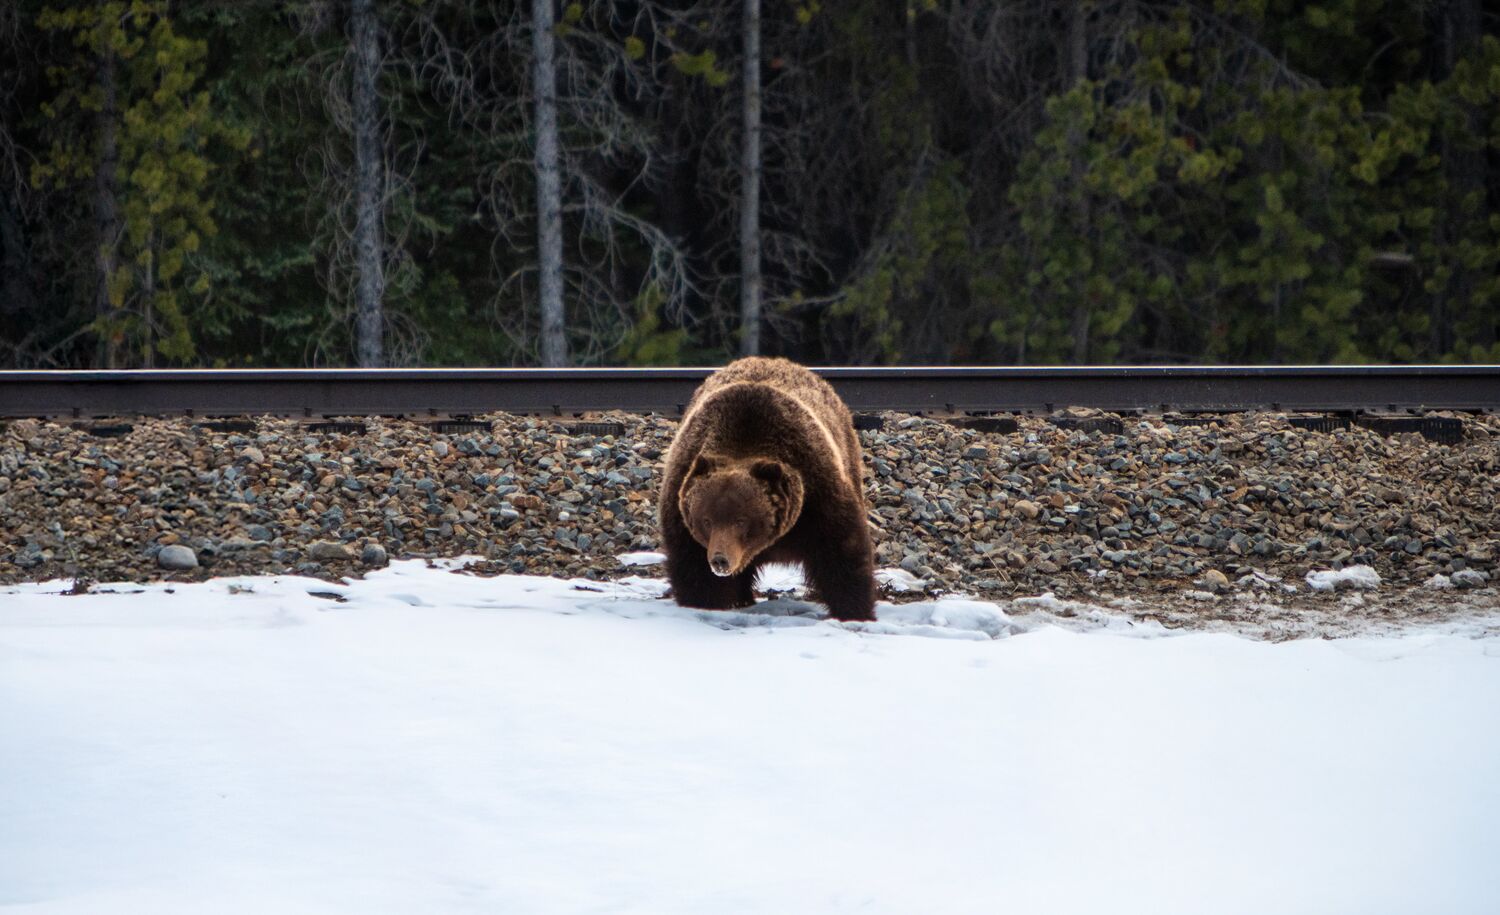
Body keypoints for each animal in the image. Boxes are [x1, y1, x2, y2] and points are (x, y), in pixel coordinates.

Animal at [658, 356, 877, 622]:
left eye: (741, 520)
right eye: (706, 520)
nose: (720, 560)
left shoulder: (818, 495)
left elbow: (842, 551)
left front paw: (854, 610)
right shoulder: (682, 503)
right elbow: (694, 569)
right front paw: (704, 604)